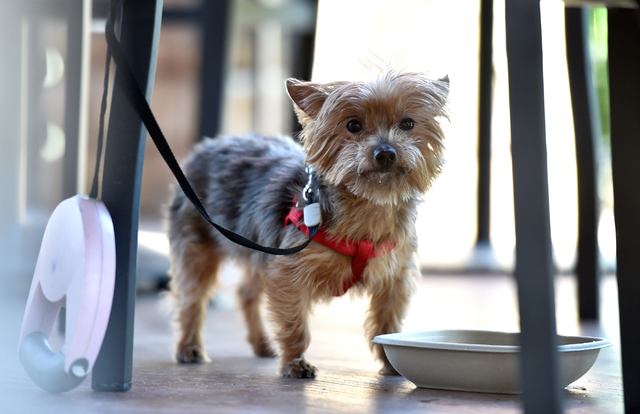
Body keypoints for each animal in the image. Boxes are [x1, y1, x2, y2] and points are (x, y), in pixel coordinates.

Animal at [166, 70, 449, 378]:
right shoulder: (289, 271)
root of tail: (206, 146)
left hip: (260, 247)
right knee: (191, 297)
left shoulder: (394, 276)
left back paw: (261, 343)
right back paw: (189, 347)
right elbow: (294, 323)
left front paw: (392, 364)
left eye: (408, 123)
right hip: (199, 247)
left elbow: (387, 324)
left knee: (246, 293)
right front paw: (295, 363)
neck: (369, 206)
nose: (385, 152)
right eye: (353, 125)